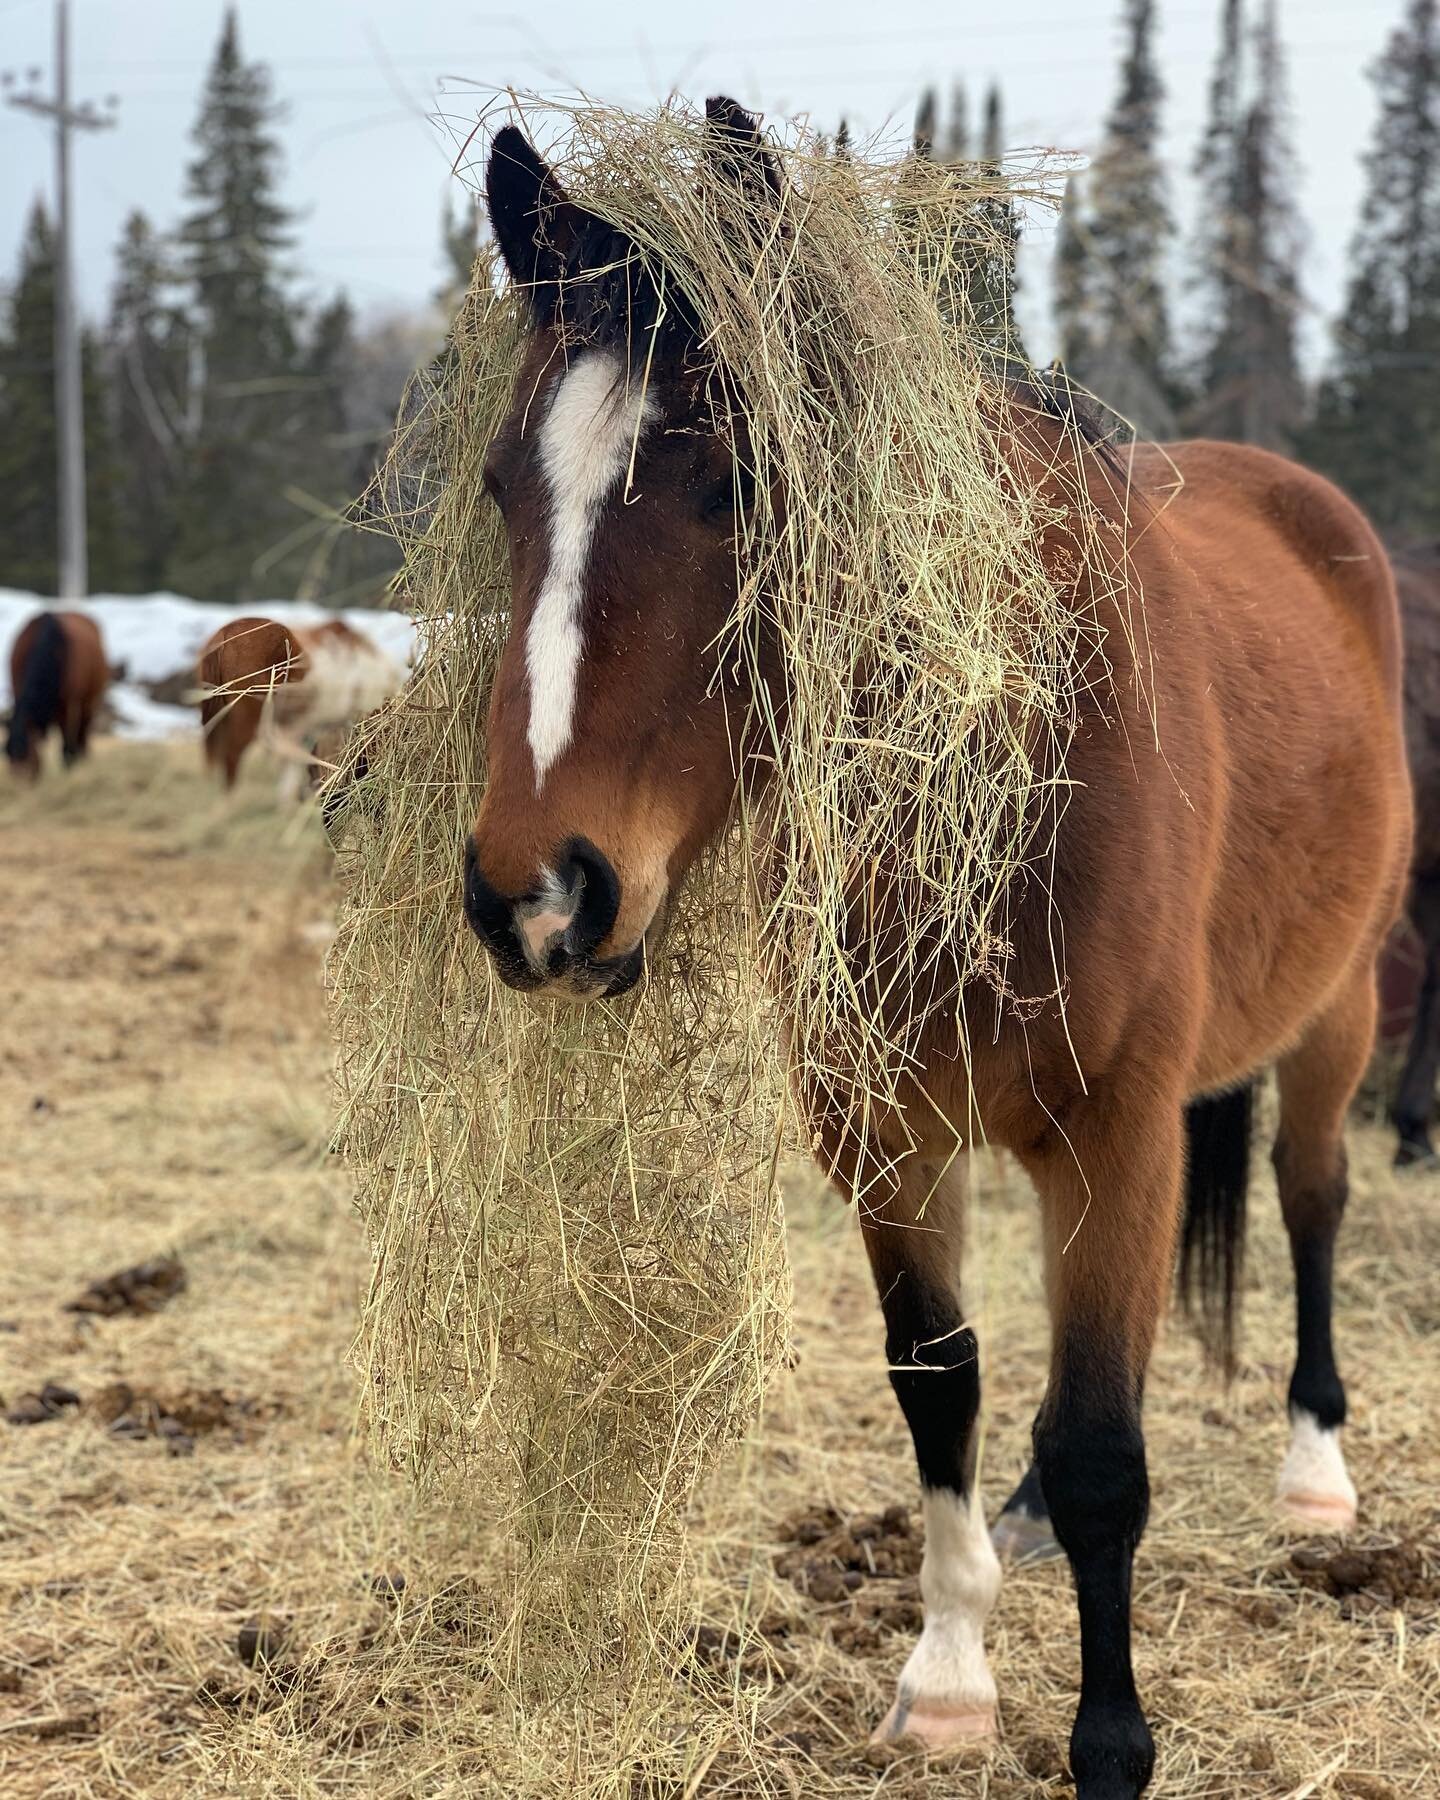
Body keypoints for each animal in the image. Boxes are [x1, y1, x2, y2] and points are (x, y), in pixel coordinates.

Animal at [4, 608, 109, 777]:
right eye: (8, 754)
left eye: (28, 756)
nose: (18, 781)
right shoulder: (16, 689)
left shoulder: (67, 706)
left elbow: (66, 742)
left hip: (90, 700)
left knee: (83, 730)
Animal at [464, 102, 1418, 1800]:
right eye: (512, 486)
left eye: (733, 479)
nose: (538, 896)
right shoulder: (885, 1135)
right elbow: (945, 1384)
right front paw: (953, 1675)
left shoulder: (1112, 1131)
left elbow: (1104, 1453)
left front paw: (1110, 1745)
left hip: (1339, 1014)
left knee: (1312, 1198)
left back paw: (1316, 1466)